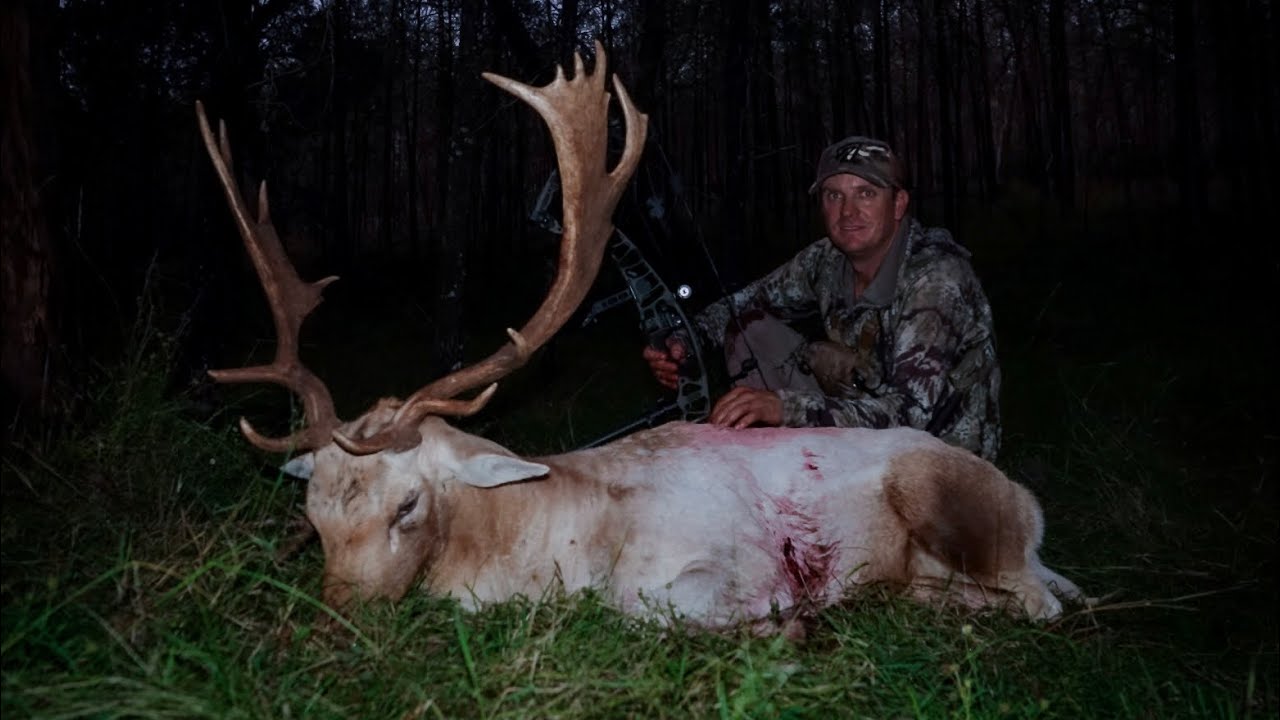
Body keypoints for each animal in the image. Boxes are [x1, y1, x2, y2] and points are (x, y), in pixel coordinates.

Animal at [199, 43, 1082, 633]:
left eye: (407, 504)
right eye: (315, 513)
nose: (335, 621)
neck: (557, 531)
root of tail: (1032, 509)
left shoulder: (714, 563)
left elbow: (654, 605)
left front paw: (788, 622)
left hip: (949, 500)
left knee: (1040, 599)